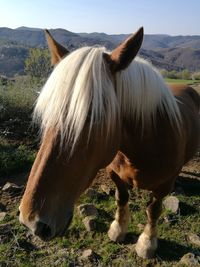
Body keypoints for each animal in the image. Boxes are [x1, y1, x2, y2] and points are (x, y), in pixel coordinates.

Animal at [18, 27, 198, 260]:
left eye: (91, 116)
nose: (31, 222)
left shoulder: (163, 185)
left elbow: (153, 210)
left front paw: (147, 242)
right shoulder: (114, 173)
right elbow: (121, 198)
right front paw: (118, 229)